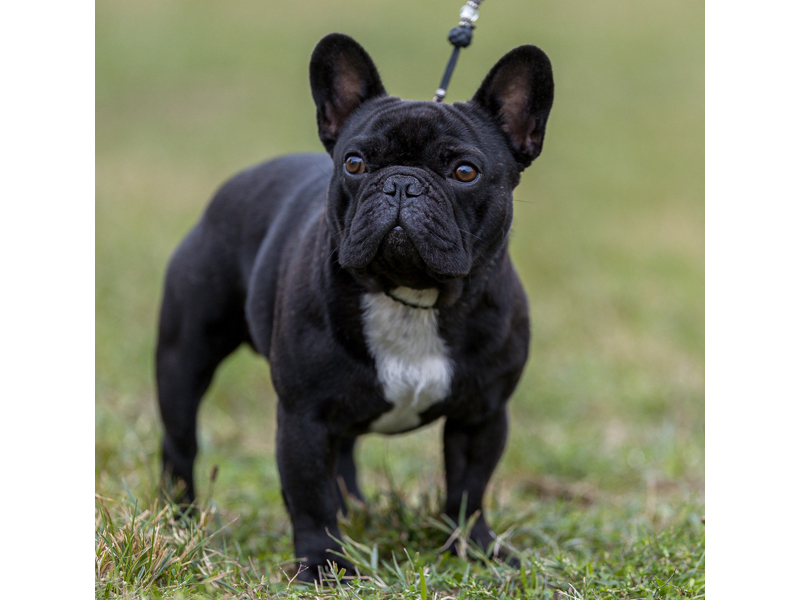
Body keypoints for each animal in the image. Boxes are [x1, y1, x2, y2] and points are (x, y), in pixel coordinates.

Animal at [157, 31, 556, 580]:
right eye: (355, 164)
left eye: (464, 171)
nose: (402, 182)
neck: (411, 297)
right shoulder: (303, 417)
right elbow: (310, 498)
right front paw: (322, 565)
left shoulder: (482, 414)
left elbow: (468, 490)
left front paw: (476, 550)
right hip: (184, 356)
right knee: (180, 444)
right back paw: (179, 522)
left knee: (345, 451)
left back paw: (356, 510)